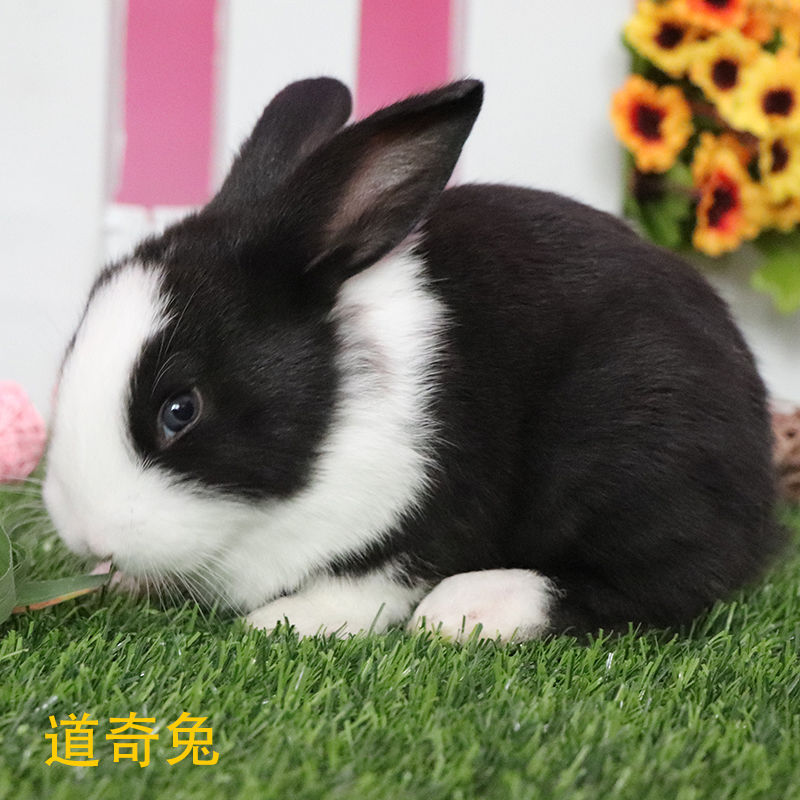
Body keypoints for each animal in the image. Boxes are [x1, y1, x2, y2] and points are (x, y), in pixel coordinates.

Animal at [43, 77, 784, 641]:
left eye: (180, 409)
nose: (86, 538)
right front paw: (122, 583)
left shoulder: (427, 510)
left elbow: (378, 580)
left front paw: (284, 621)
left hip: (636, 455)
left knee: (669, 580)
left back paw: (472, 609)